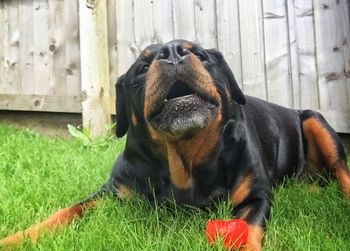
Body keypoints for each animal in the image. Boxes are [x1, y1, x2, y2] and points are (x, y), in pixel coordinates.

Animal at [0, 39, 350, 249]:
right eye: (142, 68)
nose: (171, 51)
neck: (184, 159)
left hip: (315, 120)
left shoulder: (256, 195)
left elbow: (247, 228)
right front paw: (16, 238)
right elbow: (66, 211)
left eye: (201, 55)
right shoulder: (113, 191)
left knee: (341, 172)